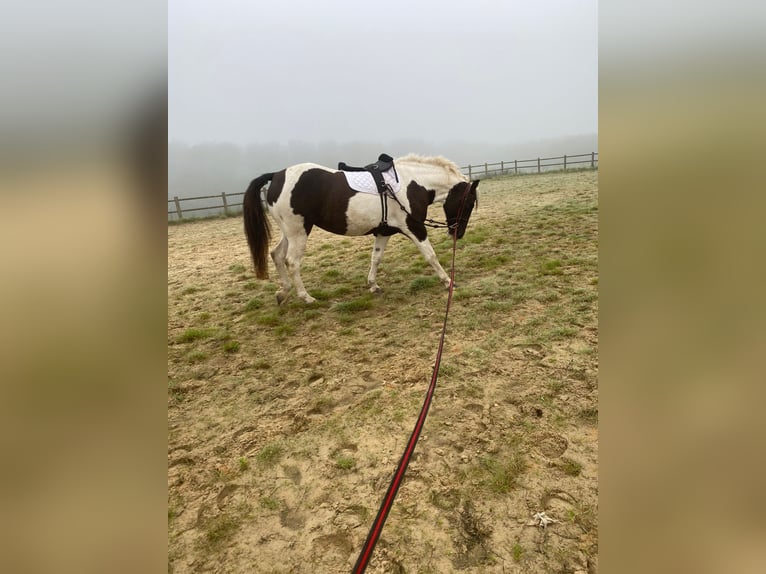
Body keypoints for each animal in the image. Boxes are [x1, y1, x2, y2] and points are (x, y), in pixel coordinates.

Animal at [243, 153, 476, 306]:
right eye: (469, 202)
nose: (458, 233)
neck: (412, 184)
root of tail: (277, 175)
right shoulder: (415, 227)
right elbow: (431, 255)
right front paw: (448, 282)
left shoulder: (383, 232)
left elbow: (376, 258)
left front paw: (373, 285)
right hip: (298, 232)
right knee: (292, 261)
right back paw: (306, 297)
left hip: (289, 232)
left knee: (276, 255)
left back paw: (283, 292)